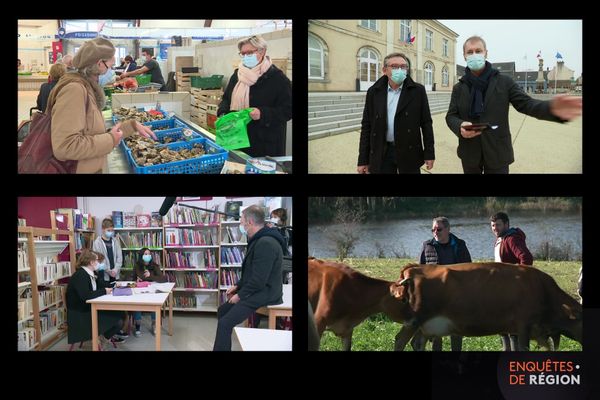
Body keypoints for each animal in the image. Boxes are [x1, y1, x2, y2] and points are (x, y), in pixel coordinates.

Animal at [390, 262, 580, 350]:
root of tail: (414, 268)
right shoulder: (524, 325)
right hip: (414, 320)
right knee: (400, 340)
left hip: (424, 325)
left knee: (417, 343)